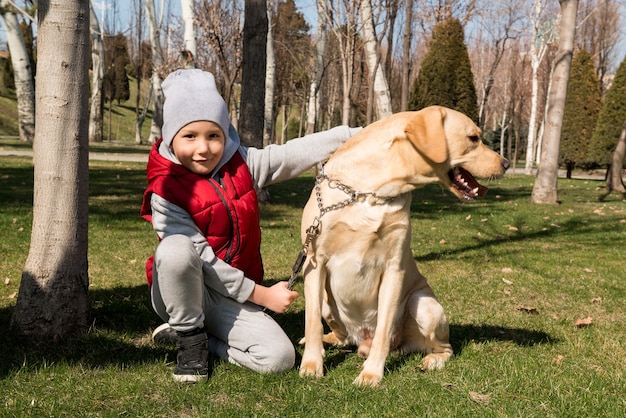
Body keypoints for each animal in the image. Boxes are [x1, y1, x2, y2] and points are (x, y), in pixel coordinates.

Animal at [298, 106, 508, 386]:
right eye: (474, 138)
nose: (506, 164)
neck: (370, 191)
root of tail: (359, 339)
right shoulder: (314, 262)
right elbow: (311, 323)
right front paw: (311, 365)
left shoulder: (393, 268)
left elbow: (383, 331)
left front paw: (371, 374)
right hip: (322, 297)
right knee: (339, 335)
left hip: (423, 303)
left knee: (444, 347)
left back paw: (430, 360)